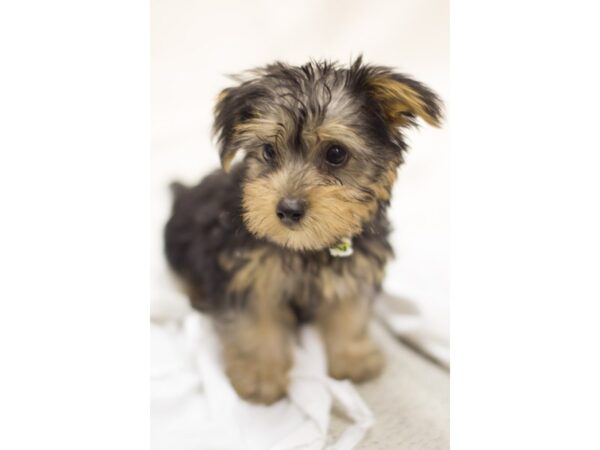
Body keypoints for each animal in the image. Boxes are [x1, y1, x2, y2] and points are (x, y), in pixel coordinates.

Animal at [163, 56, 440, 404]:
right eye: (268, 151)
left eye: (336, 154)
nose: (288, 209)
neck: (308, 247)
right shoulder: (248, 273)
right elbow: (255, 322)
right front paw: (261, 374)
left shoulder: (357, 265)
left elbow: (351, 309)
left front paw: (353, 357)